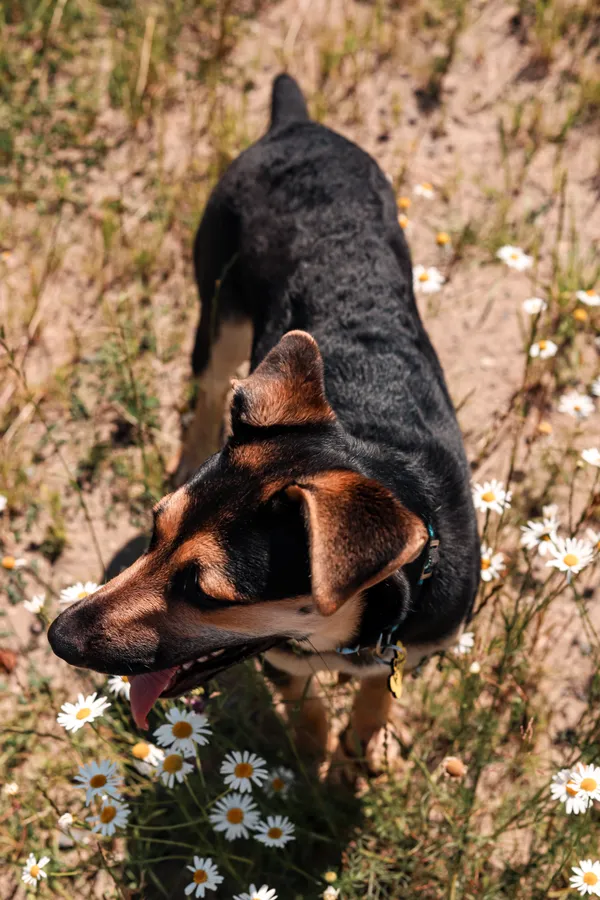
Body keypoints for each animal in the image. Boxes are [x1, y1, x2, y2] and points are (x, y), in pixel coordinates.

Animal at [48, 74, 478, 768]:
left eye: (206, 593)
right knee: (206, 390)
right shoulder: (284, 658)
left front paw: (361, 749)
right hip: (218, 309)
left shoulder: (417, 645)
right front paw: (314, 756)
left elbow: (376, 694)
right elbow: (307, 703)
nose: (58, 635)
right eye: (154, 530)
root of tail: (294, 124)